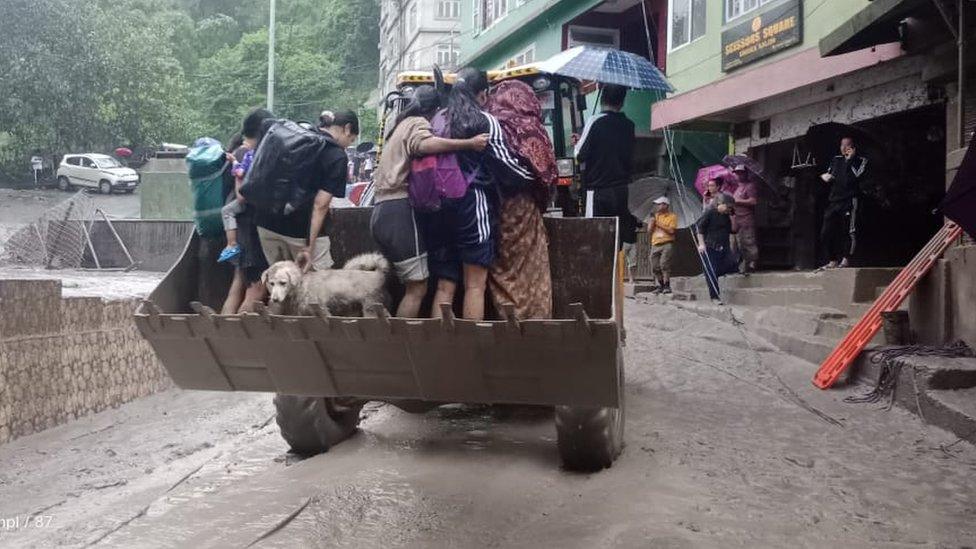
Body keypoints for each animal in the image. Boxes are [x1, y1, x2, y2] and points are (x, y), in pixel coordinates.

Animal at [264, 254, 394, 316]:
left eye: (283, 283)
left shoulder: (321, 309)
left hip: (370, 307)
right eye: (271, 283)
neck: (303, 284)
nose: (274, 299)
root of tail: (378, 274)